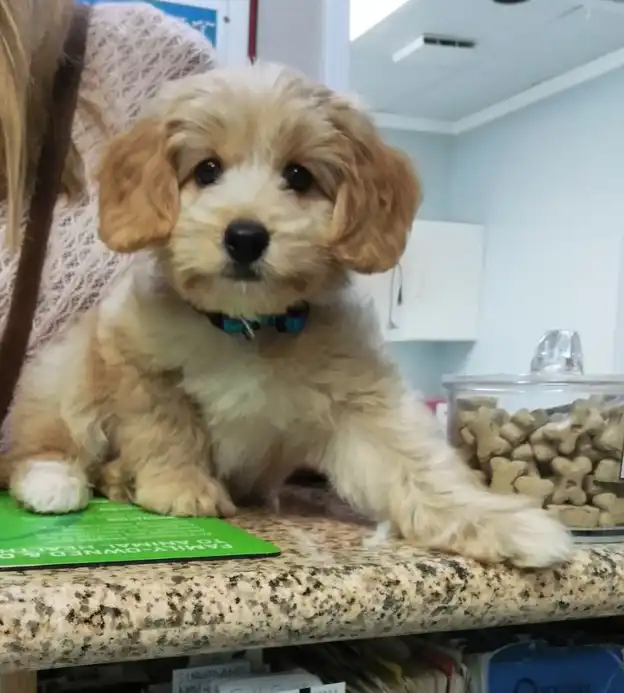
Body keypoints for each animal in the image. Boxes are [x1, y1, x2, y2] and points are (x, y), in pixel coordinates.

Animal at [2, 62, 572, 564]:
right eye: (207, 170)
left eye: (297, 175)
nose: (245, 236)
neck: (248, 327)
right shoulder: (132, 353)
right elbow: (166, 425)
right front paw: (181, 485)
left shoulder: (363, 401)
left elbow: (415, 465)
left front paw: (502, 522)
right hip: (64, 373)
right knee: (40, 441)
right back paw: (57, 478)